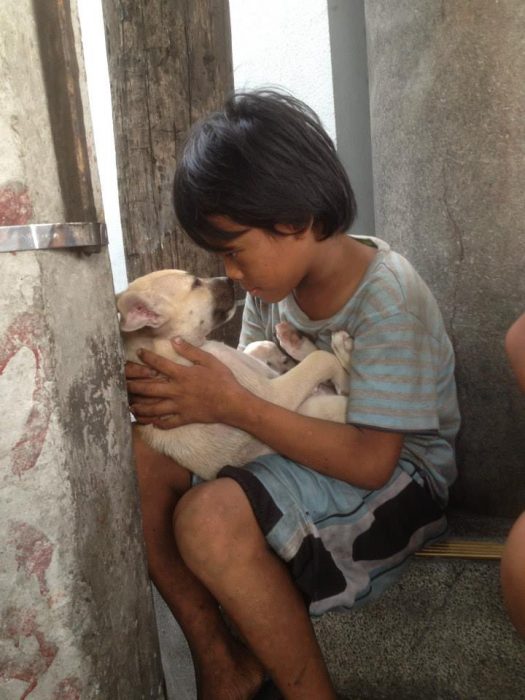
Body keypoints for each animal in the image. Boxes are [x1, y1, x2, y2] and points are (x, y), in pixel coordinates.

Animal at [116, 270, 350, 482]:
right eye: (195, 283)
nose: (229, 279)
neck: (169, 348)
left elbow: (258, 346)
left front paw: (278, 356)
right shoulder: (272, 396)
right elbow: (321, 359)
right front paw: (339, 376)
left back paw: (297, 341)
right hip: (318, 409)